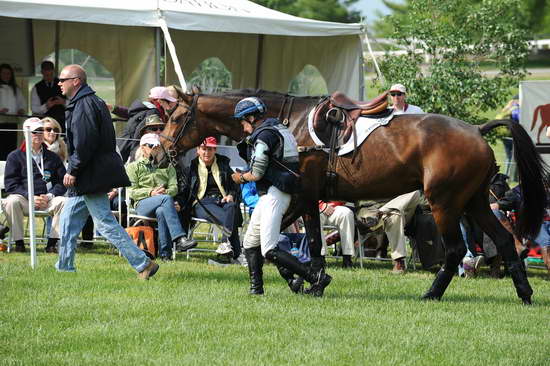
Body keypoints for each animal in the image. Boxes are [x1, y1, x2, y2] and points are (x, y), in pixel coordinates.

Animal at [155, 88, 550, 304]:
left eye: (175, 118)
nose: (158, 154)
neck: (287, 124)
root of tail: (477, 130)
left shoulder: (304, 196)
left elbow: (303, 245)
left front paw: (311, 282)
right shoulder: (299, 200)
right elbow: (280, 246)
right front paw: (303, 280)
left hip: (445, 205)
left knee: (454, 251)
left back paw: (432, 294)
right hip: (474, 203)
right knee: (504, 240)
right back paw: (525, 294)